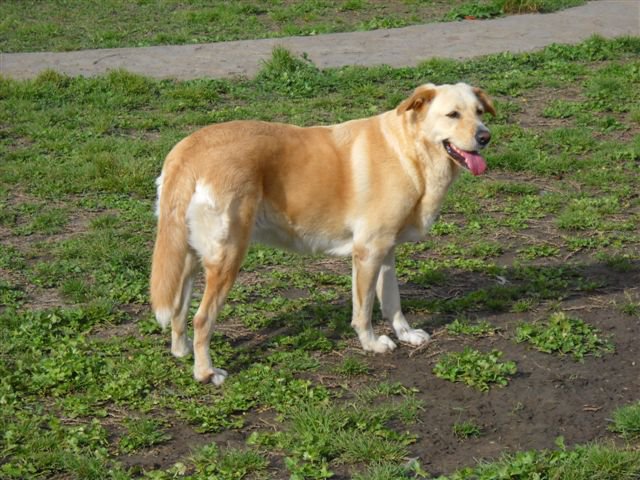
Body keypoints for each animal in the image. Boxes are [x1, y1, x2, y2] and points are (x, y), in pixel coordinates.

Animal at [151, 81, 496, 382]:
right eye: (453, 114)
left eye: (479, 111)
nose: (485, 137)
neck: (408, 150)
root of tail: (187, 150)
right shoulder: (368, 252)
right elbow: (364, 310)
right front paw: (371, 344)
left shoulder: (386, 251)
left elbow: (393, 301)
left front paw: (406, 334)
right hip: (227, 258)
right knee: (201, 319)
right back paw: (206, 373)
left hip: (190, 258)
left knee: (179, 310)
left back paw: (182, 352)